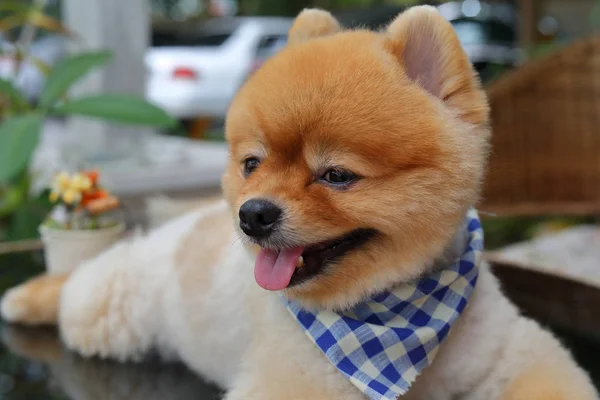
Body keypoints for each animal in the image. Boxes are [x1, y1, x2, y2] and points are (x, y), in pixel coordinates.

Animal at [2, 7, 596, 400]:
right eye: (252, 165)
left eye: (336, 175)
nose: (252, 214)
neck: (388, 315)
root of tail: (183, 226)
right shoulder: (291, 383)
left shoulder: (513, 353)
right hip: (107, 309)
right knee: (75, 290)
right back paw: (26, 299)